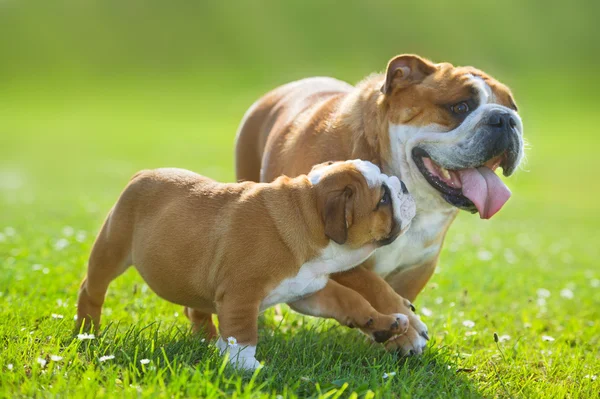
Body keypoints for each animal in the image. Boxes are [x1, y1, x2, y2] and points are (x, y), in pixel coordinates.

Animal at [76, 160, 418, 372]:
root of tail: (142, 174)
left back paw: (209, 340)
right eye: (382, 199)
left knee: (195, 307)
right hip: (112, 248)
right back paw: (87, 332)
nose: (403, 183)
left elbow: (351, 301)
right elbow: (243, 332)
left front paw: (384, 323)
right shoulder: (241, 294)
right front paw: (245, 365)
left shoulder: (309, 290)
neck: (307, 210)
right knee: (91, 289)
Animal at [234, 54, 524, 356]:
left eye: (512, 107)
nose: (505, 119)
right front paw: (408, 330)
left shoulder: (419, 264)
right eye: (460, 107)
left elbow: (398, 291)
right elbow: (371, 283)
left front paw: (396, 337)